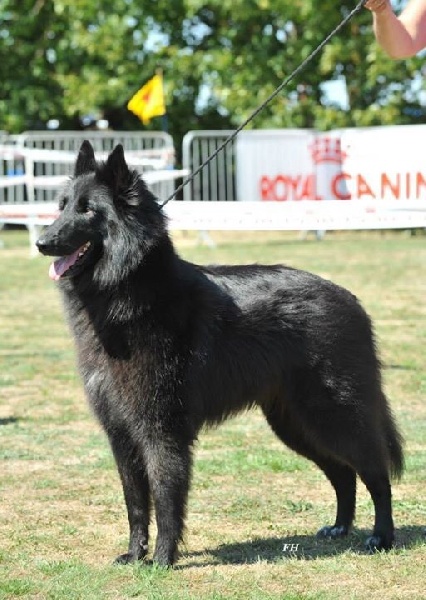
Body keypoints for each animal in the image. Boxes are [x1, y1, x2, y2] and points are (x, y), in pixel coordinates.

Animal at [35, 142, 402, 568]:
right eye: (62, 206)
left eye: (88, 210)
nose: (41, 242)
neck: (131, 292)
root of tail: (351, 300)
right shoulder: (121, 434)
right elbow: (136, 502)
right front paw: (135, 554)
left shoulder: (161, 431)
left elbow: (166, 498)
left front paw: (162, 560)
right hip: (295, 424)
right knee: (342, 474)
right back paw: (340, 527)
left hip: (333, 416)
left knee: (375, 473)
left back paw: (381, 536)